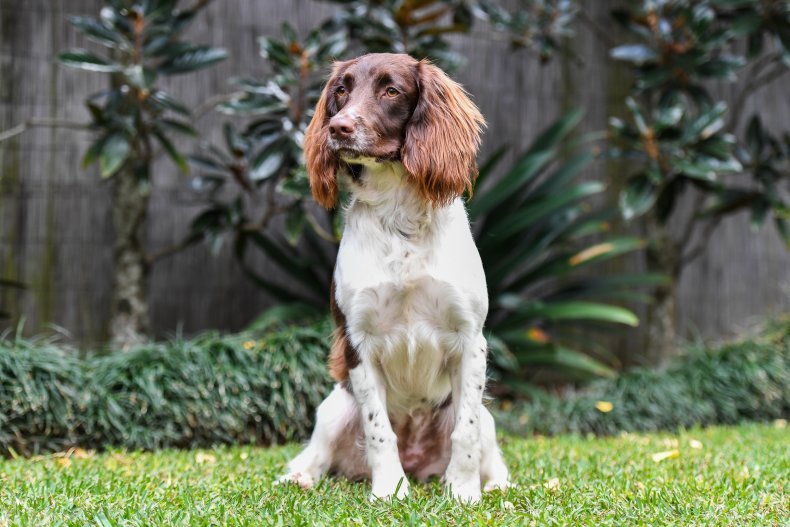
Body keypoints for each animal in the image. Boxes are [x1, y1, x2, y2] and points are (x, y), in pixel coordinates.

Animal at [282, 53, 510, 504]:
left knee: (488, 447)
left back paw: (495, 487)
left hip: (487, 417)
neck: (398, 215)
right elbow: (379, 430)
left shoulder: (470, 340)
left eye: (391, 91)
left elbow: (466, 433)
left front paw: (463, 492)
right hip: (334, 407)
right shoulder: (358, 342)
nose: (338, 128)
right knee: (316, 455)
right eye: (341, 90)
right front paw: (389, 490)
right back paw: (299, 478)